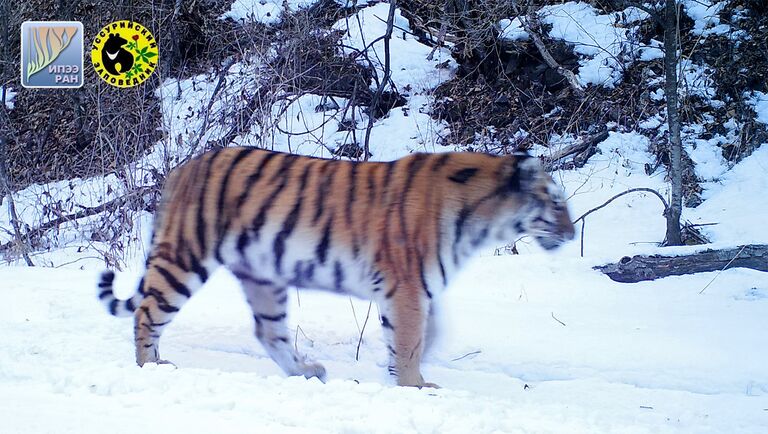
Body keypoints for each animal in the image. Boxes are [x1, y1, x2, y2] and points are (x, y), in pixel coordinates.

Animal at [97, 147, 576, 388]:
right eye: (556, 202)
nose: (572, 235)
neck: (482, 219)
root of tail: (181, 169)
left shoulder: (414, 290)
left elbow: (426, 333)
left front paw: (400, 373)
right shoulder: (407, 287)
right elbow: (411, 340)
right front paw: (415, 386)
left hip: (263, 274)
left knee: (268, 331)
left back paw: (306, 373)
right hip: (186, 257)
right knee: (147, 314)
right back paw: (152, 368)